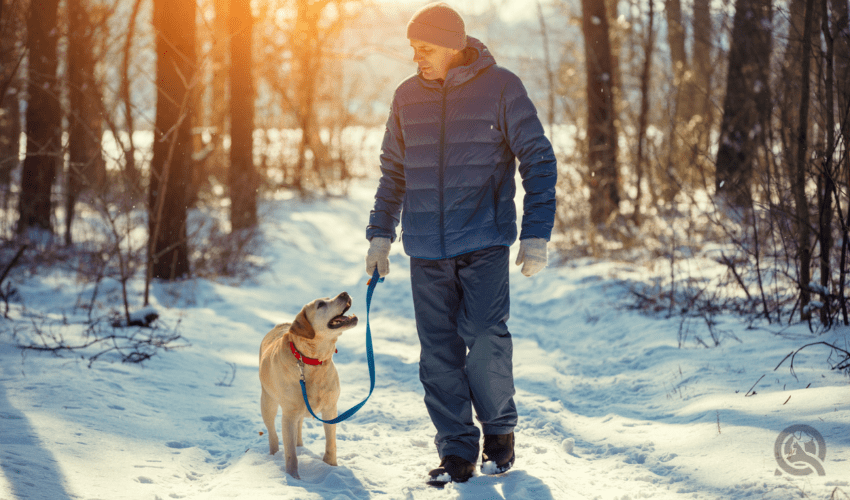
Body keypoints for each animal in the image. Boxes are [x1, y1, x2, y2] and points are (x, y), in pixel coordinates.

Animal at [255, 292, 354, 480]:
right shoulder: (288, 415)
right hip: (268, 402)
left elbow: (331, 443)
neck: (312, 361)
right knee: (273, 434)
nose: (344, 293)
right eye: (321, 304)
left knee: (299, 428)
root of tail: (281, 324)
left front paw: (332, 467)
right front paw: (293, 478)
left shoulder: (330, 408)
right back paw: (274, 454)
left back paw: (300, 446)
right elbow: (290, 454)